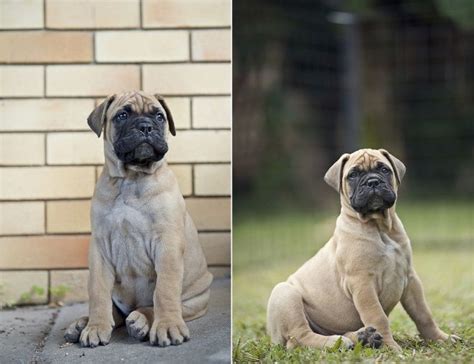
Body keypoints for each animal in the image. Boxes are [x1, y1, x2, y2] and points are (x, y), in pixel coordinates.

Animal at [64, 90, 212, 346]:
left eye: (160, 117)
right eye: (122, 115)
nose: (145, 127)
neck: (131, 179)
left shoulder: (167, 244)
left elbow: (164, 290)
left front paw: (168, 326)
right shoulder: (100, 247)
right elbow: (98, 292)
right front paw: (96, 326)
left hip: (194, 299)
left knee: (153, 306)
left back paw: (142, 321)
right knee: (116, 312)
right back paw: (83, 323)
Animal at [266, 149, 456, 352]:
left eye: (384, 169)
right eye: (353, 174)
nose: (373, 181)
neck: (379, 227)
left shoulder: (410, 278)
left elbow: (423, 314)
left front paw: (440, 338)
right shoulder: (362, 283)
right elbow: (378, 316)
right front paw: (390, 347)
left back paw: (364, 337)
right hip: (285, 293)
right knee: (299, 337)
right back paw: (339, 341)